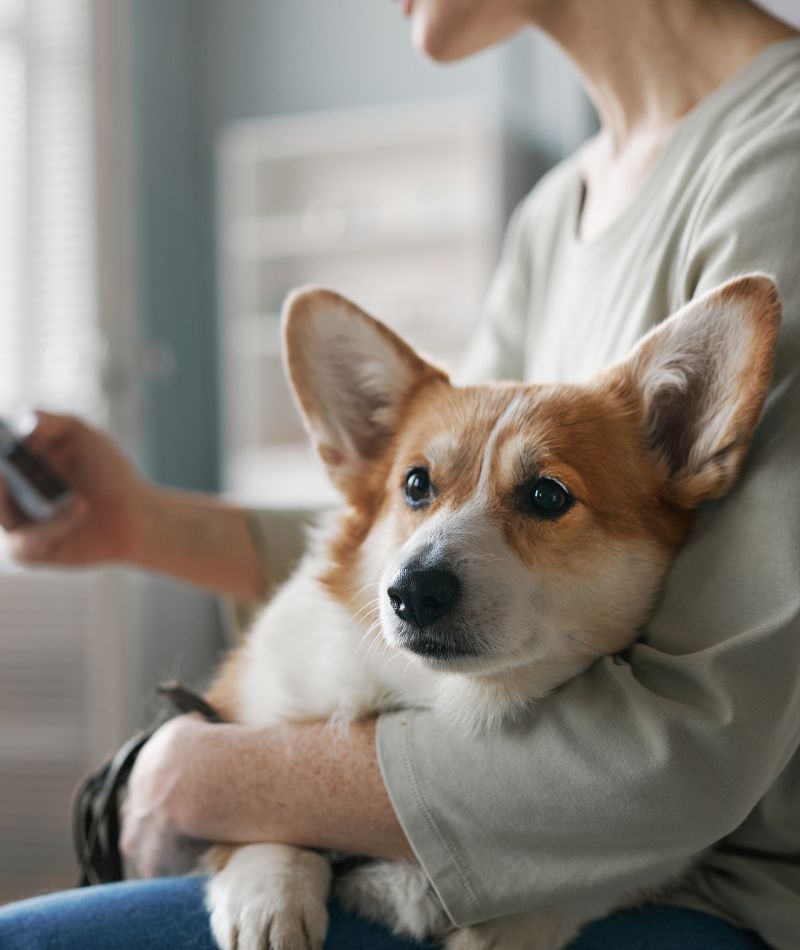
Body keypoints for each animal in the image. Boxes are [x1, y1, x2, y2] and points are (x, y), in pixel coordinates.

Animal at [202, 272, 780, 948]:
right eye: (415, 484)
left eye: (547, 495)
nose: (411, 591)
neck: (441, 698)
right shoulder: (241, 707)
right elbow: (259, 810)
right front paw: (271, 892)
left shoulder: (655, 863)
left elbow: (565, 898)